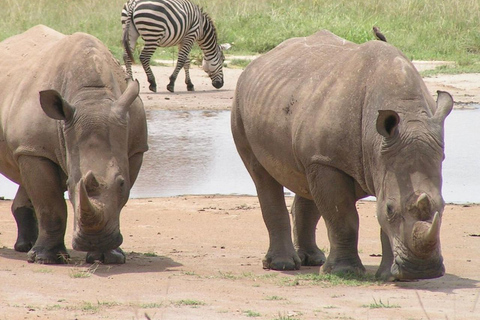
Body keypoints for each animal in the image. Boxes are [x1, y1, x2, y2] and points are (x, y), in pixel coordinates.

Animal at [0, 25, 148, 264]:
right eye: (69, 186)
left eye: (121, 183)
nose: (94, 241)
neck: (92, 96)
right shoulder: (35, 149)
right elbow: (50, 205)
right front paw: (45, 259)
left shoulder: (135, 148)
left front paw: (109, 256)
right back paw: (28, 249)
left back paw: (25, 247)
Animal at [232, 30, 454, 280]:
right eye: (390, 208)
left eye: (444, 205)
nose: (423, 271)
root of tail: (259, 61)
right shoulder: (329, 161)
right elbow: (343, 218)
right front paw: (344, 272)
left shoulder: (379, 160)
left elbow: (378, 222)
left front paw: (388, 276)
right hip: (240, 104)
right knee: (261, 175)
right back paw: (283, 265)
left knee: (306, 180)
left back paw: (312, 260)